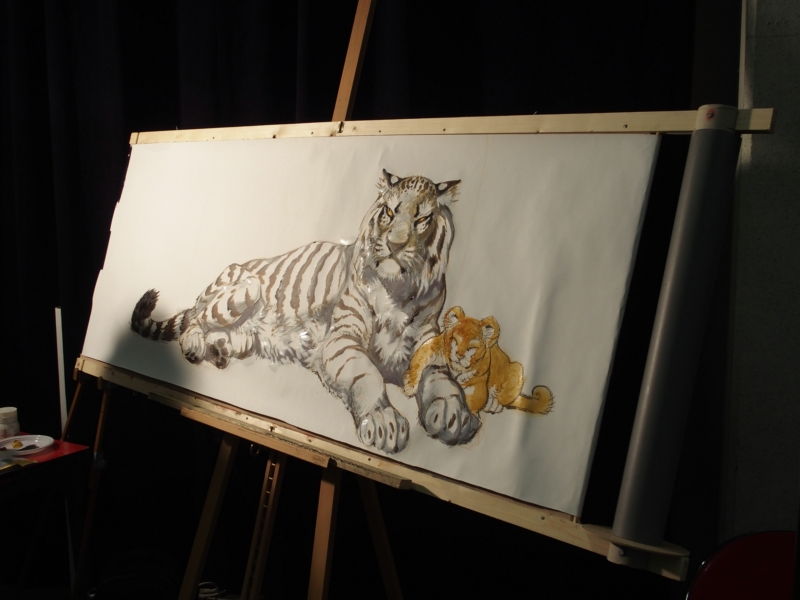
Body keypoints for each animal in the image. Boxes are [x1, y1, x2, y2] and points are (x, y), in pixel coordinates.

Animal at [130, 170, 480, 454]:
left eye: (422, 219)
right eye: (390, 212)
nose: (394, 246)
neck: (399, 291)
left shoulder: (428, 343)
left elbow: (442, 378)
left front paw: (453, 414)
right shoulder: (341, 338)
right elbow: (367, 373)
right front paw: (383, 422)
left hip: (245, 330)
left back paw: (218, 351)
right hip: (246, 288)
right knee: (193, 320)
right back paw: (195, 346)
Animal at [403, 306, 554, 416]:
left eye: (471, 347)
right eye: (455, 340)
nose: (459, 355)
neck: (457, 368)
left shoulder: (477, 388)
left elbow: (472, 402)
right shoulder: (434, 346)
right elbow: (418, 361)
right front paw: (409, 386)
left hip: (517, 369)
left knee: (504, 397)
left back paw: (493, 405)